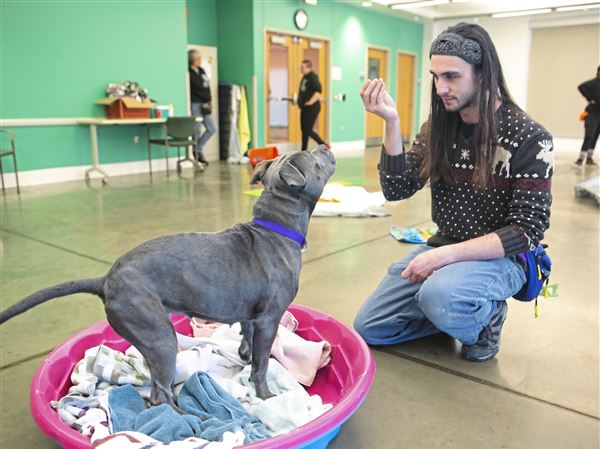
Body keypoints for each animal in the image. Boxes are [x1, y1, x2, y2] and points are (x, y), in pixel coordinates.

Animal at [0, 145, 336, 408]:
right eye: (313, 158)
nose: (325, 146)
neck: (275, 227)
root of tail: (106, 279)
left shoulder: (252, 317)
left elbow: (248, 342)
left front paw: (243, 355)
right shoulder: (269, 319)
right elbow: (263, 361)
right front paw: (265, 395)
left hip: (151, 338)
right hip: (160, 338)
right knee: (158, 395)